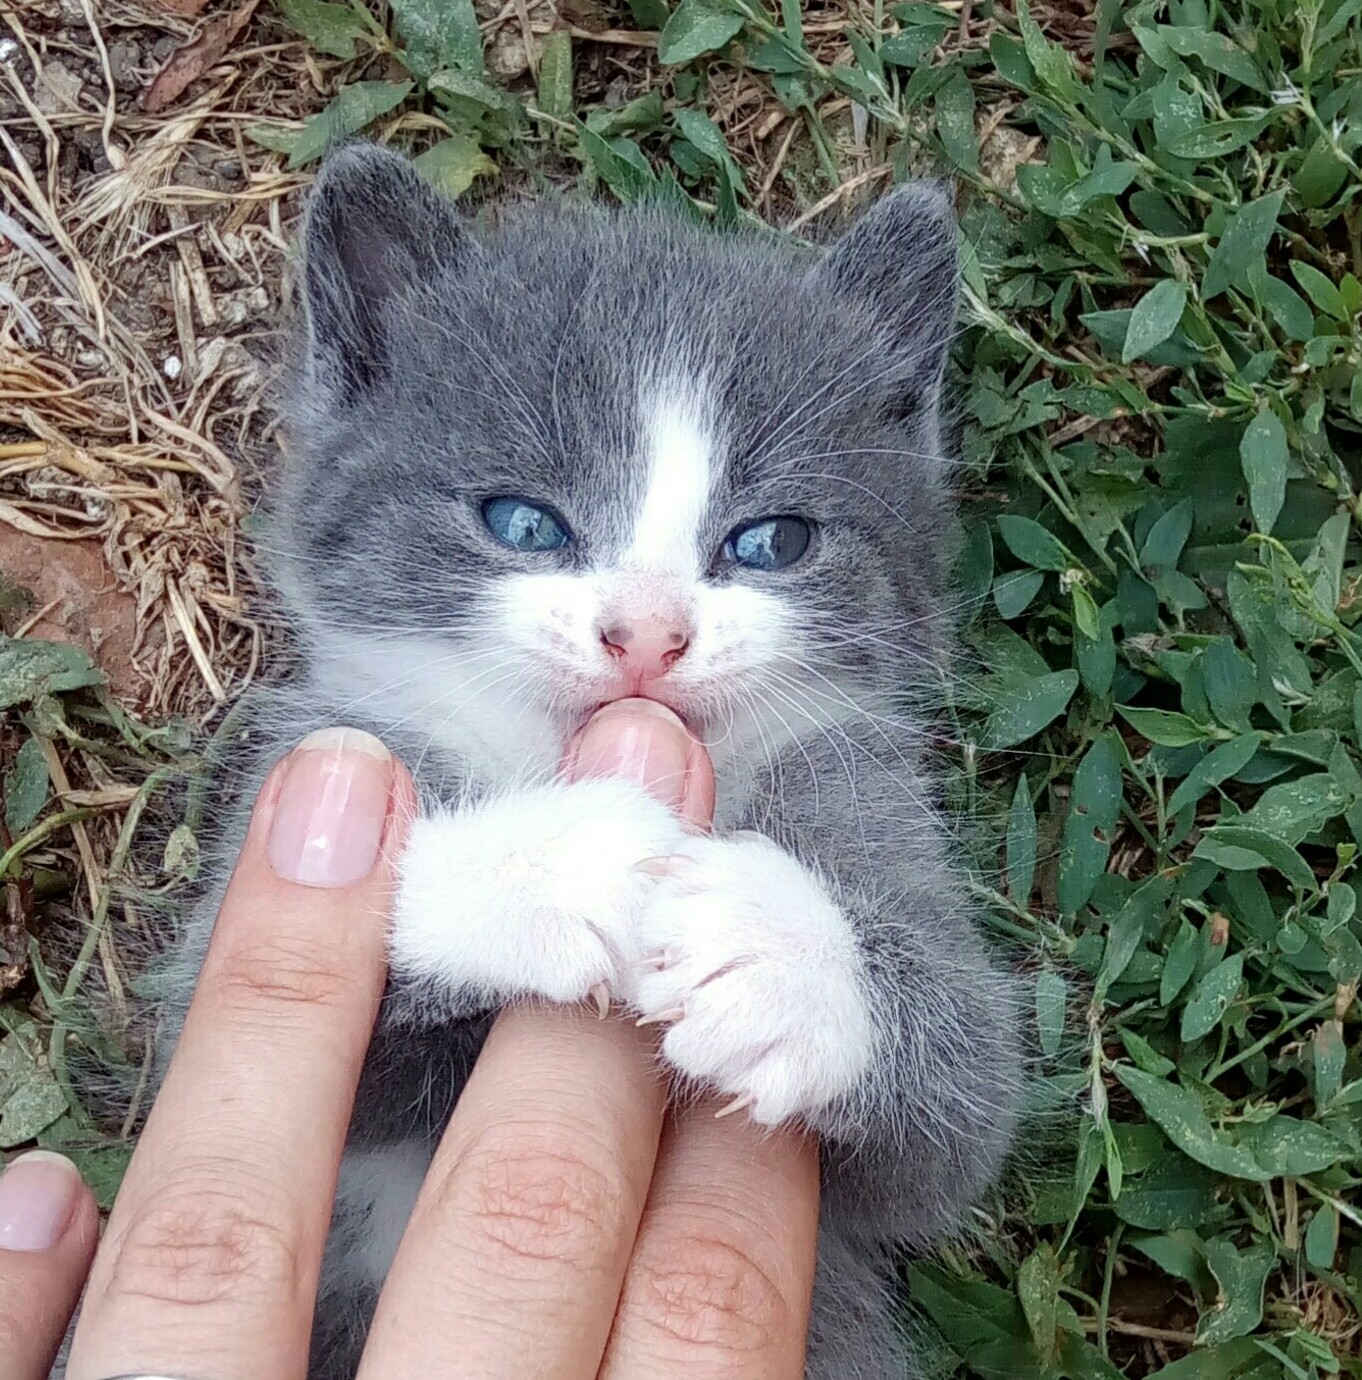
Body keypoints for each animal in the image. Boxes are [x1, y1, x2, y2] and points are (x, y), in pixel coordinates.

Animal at [151, 145, 1021, 1374]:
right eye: (524, 524)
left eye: (772, 541)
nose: (647, 633)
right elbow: (216, 1002)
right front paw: (553, 863)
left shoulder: (859, 782)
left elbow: (964, 1105)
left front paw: (780, 948)